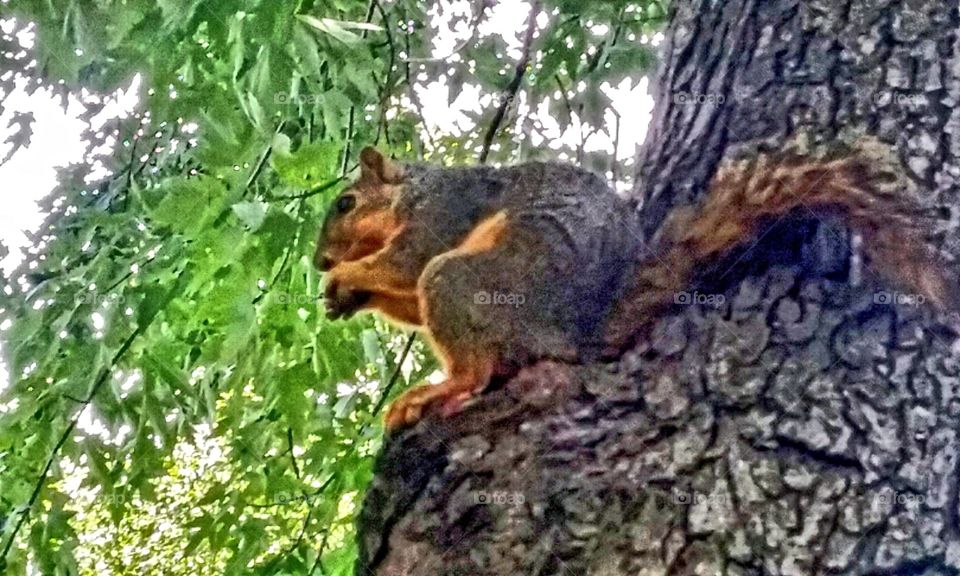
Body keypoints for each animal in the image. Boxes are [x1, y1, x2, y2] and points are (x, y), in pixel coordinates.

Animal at [315, 144, 957, 430]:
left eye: (346, 203)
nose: (320, 258)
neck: (411, 193)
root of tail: (576, 335)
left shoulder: (444, 216)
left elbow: (408, 264)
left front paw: (344, 277)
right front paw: (344, 294)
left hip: (474, 281)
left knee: (474, 369)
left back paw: (433, 393)